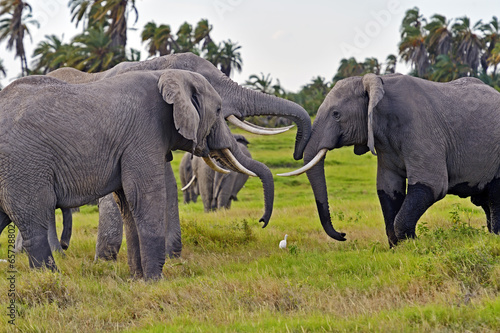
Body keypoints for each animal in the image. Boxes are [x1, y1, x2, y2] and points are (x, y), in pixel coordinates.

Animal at [0, 68, 274, 278]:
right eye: (218, 111)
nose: (261, 221)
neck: (168, 75)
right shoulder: (144, 134)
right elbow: (144, 196)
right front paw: (155, 281)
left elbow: (127, 202)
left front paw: (138, 279)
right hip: (24, 165)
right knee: (34, 222)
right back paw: (52, 279)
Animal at [47, 52, 312, 260]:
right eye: (211, 90)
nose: (261, 222)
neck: (156, 64)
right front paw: (105, 260)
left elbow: (167, 185)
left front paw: (172, 255)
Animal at [282, 72, 500, 245]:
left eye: (336, 114)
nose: (343, 234)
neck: (380, 83)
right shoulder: (385, 143)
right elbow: (388, 189)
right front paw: (400, 247)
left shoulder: (421, 130)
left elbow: (431, 185)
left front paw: (413, 245)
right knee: (485, 200)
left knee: (494, 198)